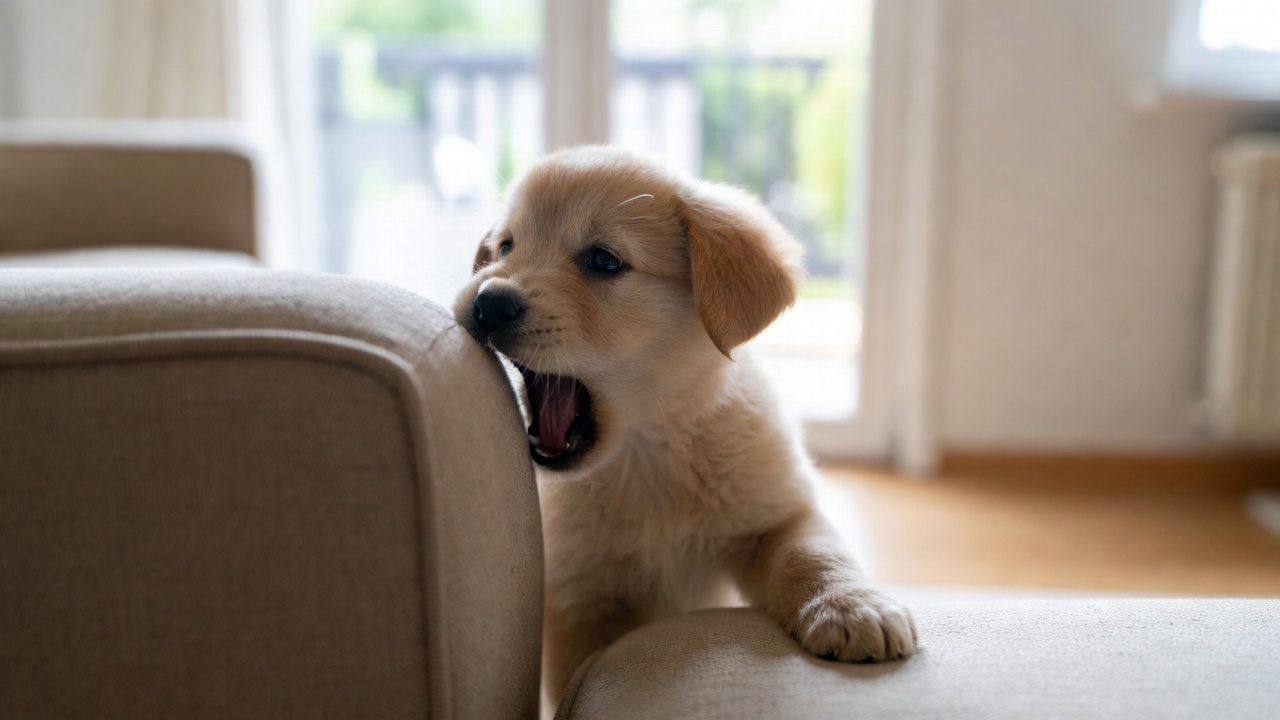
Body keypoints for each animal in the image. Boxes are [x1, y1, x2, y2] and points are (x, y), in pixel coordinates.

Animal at [453, 146, 917, 699]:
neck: (647, 452)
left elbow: (814, 552)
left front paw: (851, 607)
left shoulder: (776, 515)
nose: (488, 302)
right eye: (505, 246)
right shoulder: (579, 599)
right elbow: (573, 678)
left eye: (604, 261)